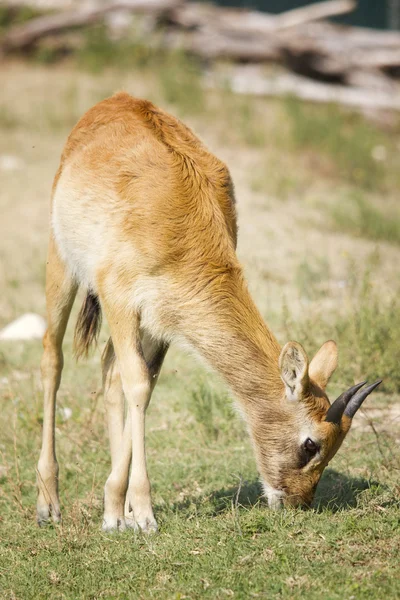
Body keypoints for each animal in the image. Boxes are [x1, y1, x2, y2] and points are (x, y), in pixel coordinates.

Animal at [36, 91, 382, 532]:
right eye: (311, 443)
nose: (297, 502)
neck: (180, 227)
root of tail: (116, 100)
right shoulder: (119, 297)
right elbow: (138, 385)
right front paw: (144, 514)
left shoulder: (161, 322)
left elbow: (141, 386)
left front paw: (120, 512)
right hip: (61, 265)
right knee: (53, 357)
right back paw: (48, 504)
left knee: (110, 372)